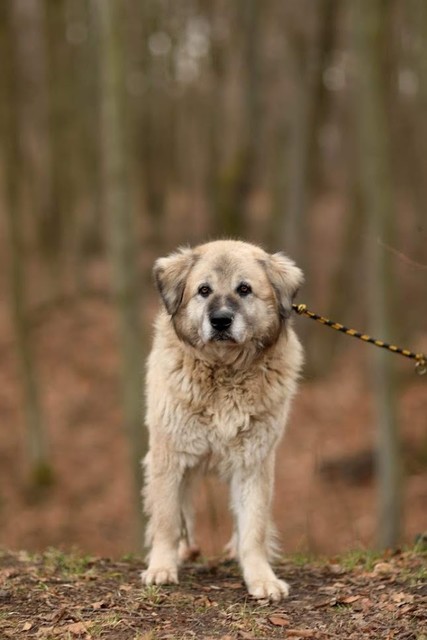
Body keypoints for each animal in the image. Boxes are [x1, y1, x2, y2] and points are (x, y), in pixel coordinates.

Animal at [143, 239, 304, 600]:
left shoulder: (254, 460)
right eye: (204, 290)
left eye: (244, 289)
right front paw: (161, 567)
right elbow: (167, 518)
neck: (224, 370)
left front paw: (261, 577)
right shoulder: (169, 455)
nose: (220, 321)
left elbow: (254, 526)